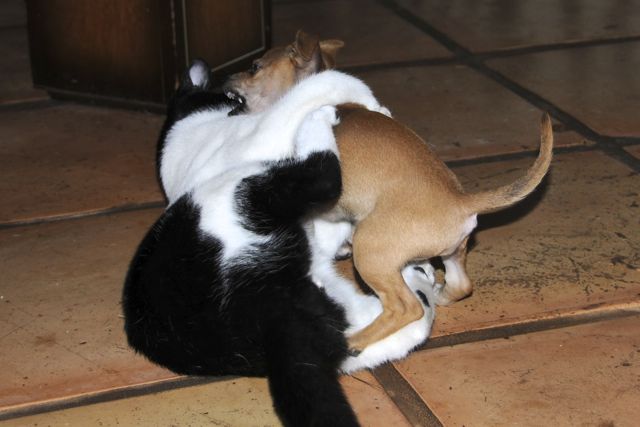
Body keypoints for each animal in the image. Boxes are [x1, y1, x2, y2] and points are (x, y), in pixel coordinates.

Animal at [223, 30, 554, 354]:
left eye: (254, 67)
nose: (226, 79)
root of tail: (460, 201)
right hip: (451, 253)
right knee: (461, 285)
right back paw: (438, 294)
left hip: (370, 251)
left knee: (406, 307)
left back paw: (355, 341)